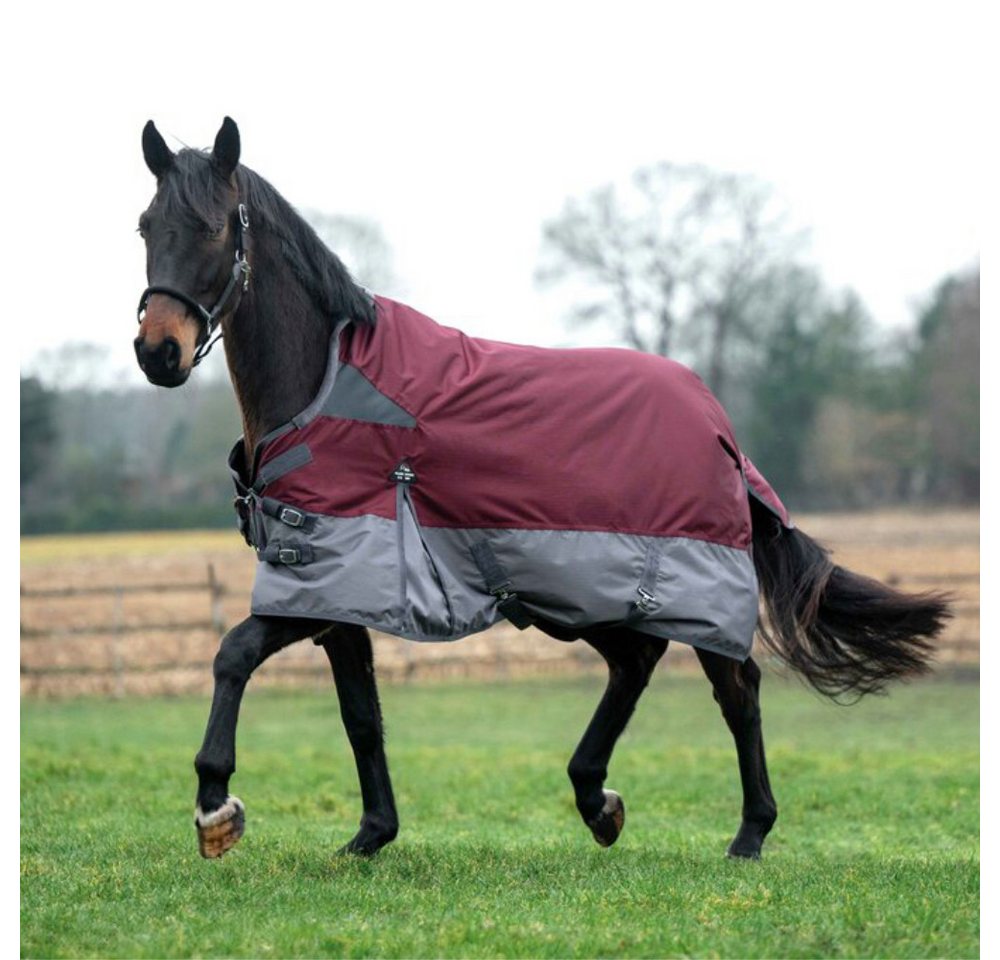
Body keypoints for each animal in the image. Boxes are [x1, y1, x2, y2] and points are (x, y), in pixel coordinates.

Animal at [134, 117, 949, 862]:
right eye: (145, 225)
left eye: (212, 227)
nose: (157, 351)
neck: (323, 387)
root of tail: (719, 425)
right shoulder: (336, 591)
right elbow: (359, 715)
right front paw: (370, 836)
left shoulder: (318, 583)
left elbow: (232, 653)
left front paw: (216, 807)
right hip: (588, 590)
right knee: (637, 665)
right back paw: (598, 800)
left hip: (673, 585)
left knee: (736, 687)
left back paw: (747, 834)